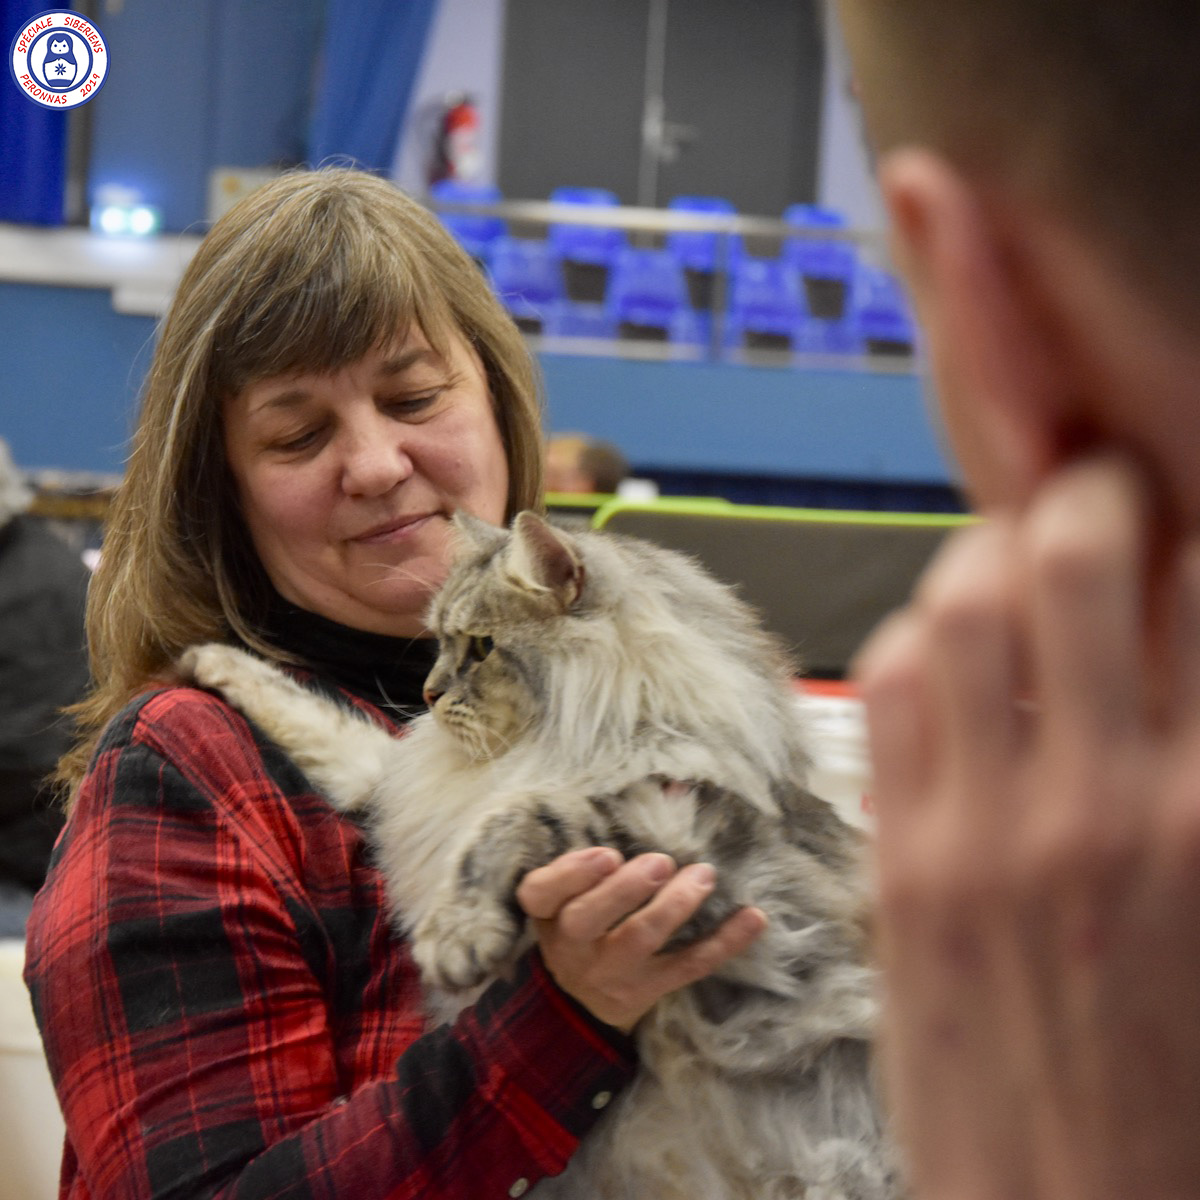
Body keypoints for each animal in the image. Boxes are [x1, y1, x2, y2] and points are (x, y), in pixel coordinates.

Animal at [179, 510, 901, 1200]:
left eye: (480, 647)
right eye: (439, 643)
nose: (429, 695)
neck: (552, 745)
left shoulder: (694, 850)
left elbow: (518, 817)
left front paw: (458, 935)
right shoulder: (397, 789)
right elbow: (325, 723)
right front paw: (210, 662)